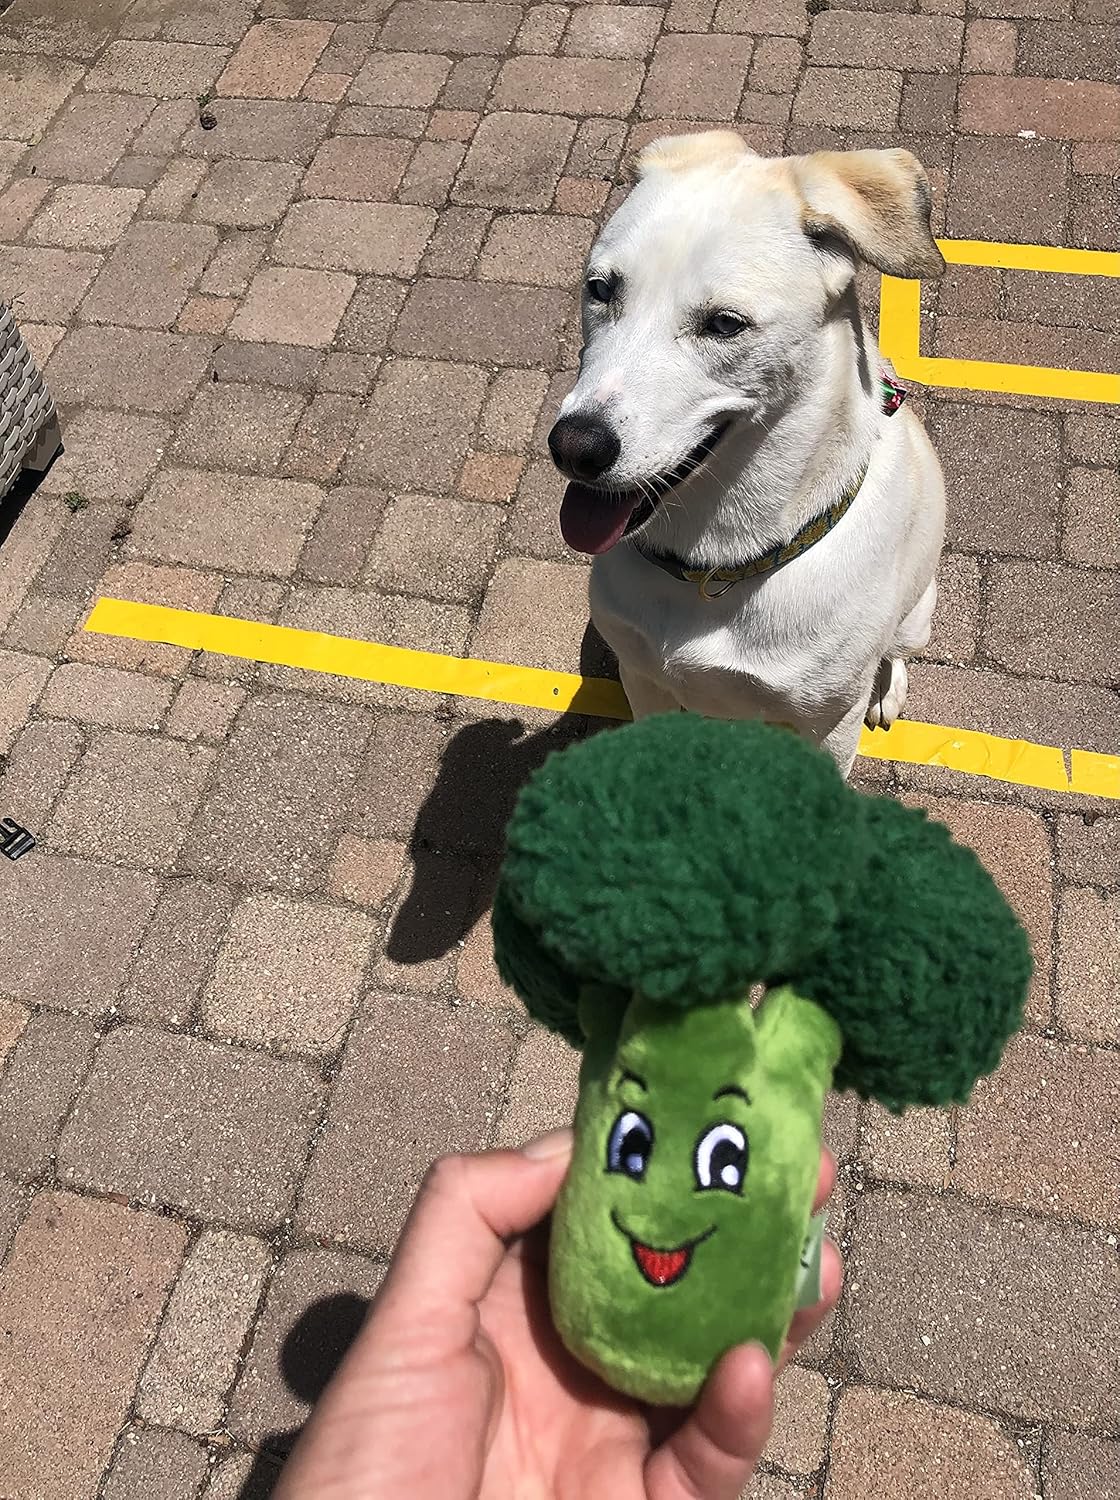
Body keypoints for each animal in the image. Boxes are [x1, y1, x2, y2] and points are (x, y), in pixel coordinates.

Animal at [548, 129, 947, 774]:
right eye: (600, 289)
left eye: (726, 324)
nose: (573, 447)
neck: (715, 566)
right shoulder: (642, 677)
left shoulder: (826, 724)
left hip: (916, 615)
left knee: (895, 652)